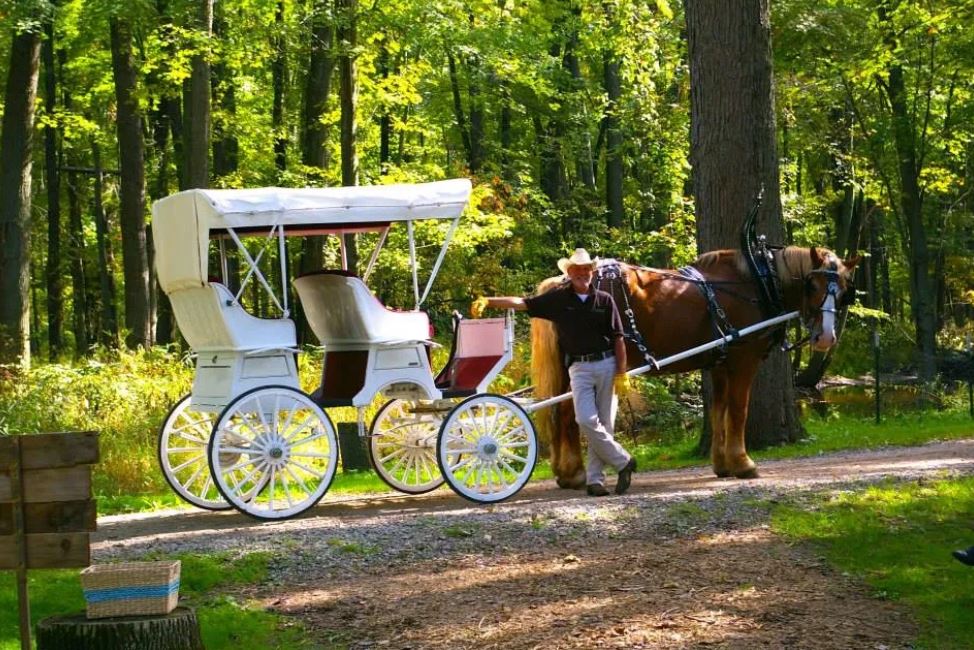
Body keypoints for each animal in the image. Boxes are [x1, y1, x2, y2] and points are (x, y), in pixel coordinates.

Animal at [532, 246, 860, 484]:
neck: (757, 283)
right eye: (812, 285)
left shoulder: (719, 362)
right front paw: (743, 462)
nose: (826, 337)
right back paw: (573, 472)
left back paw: (565, 470)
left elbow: (718, 410)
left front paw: (722, 464)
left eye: (844, 288)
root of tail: (563, 283)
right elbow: (738, 410)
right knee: (568, 413)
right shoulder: (744, 358)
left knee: (562, 412)